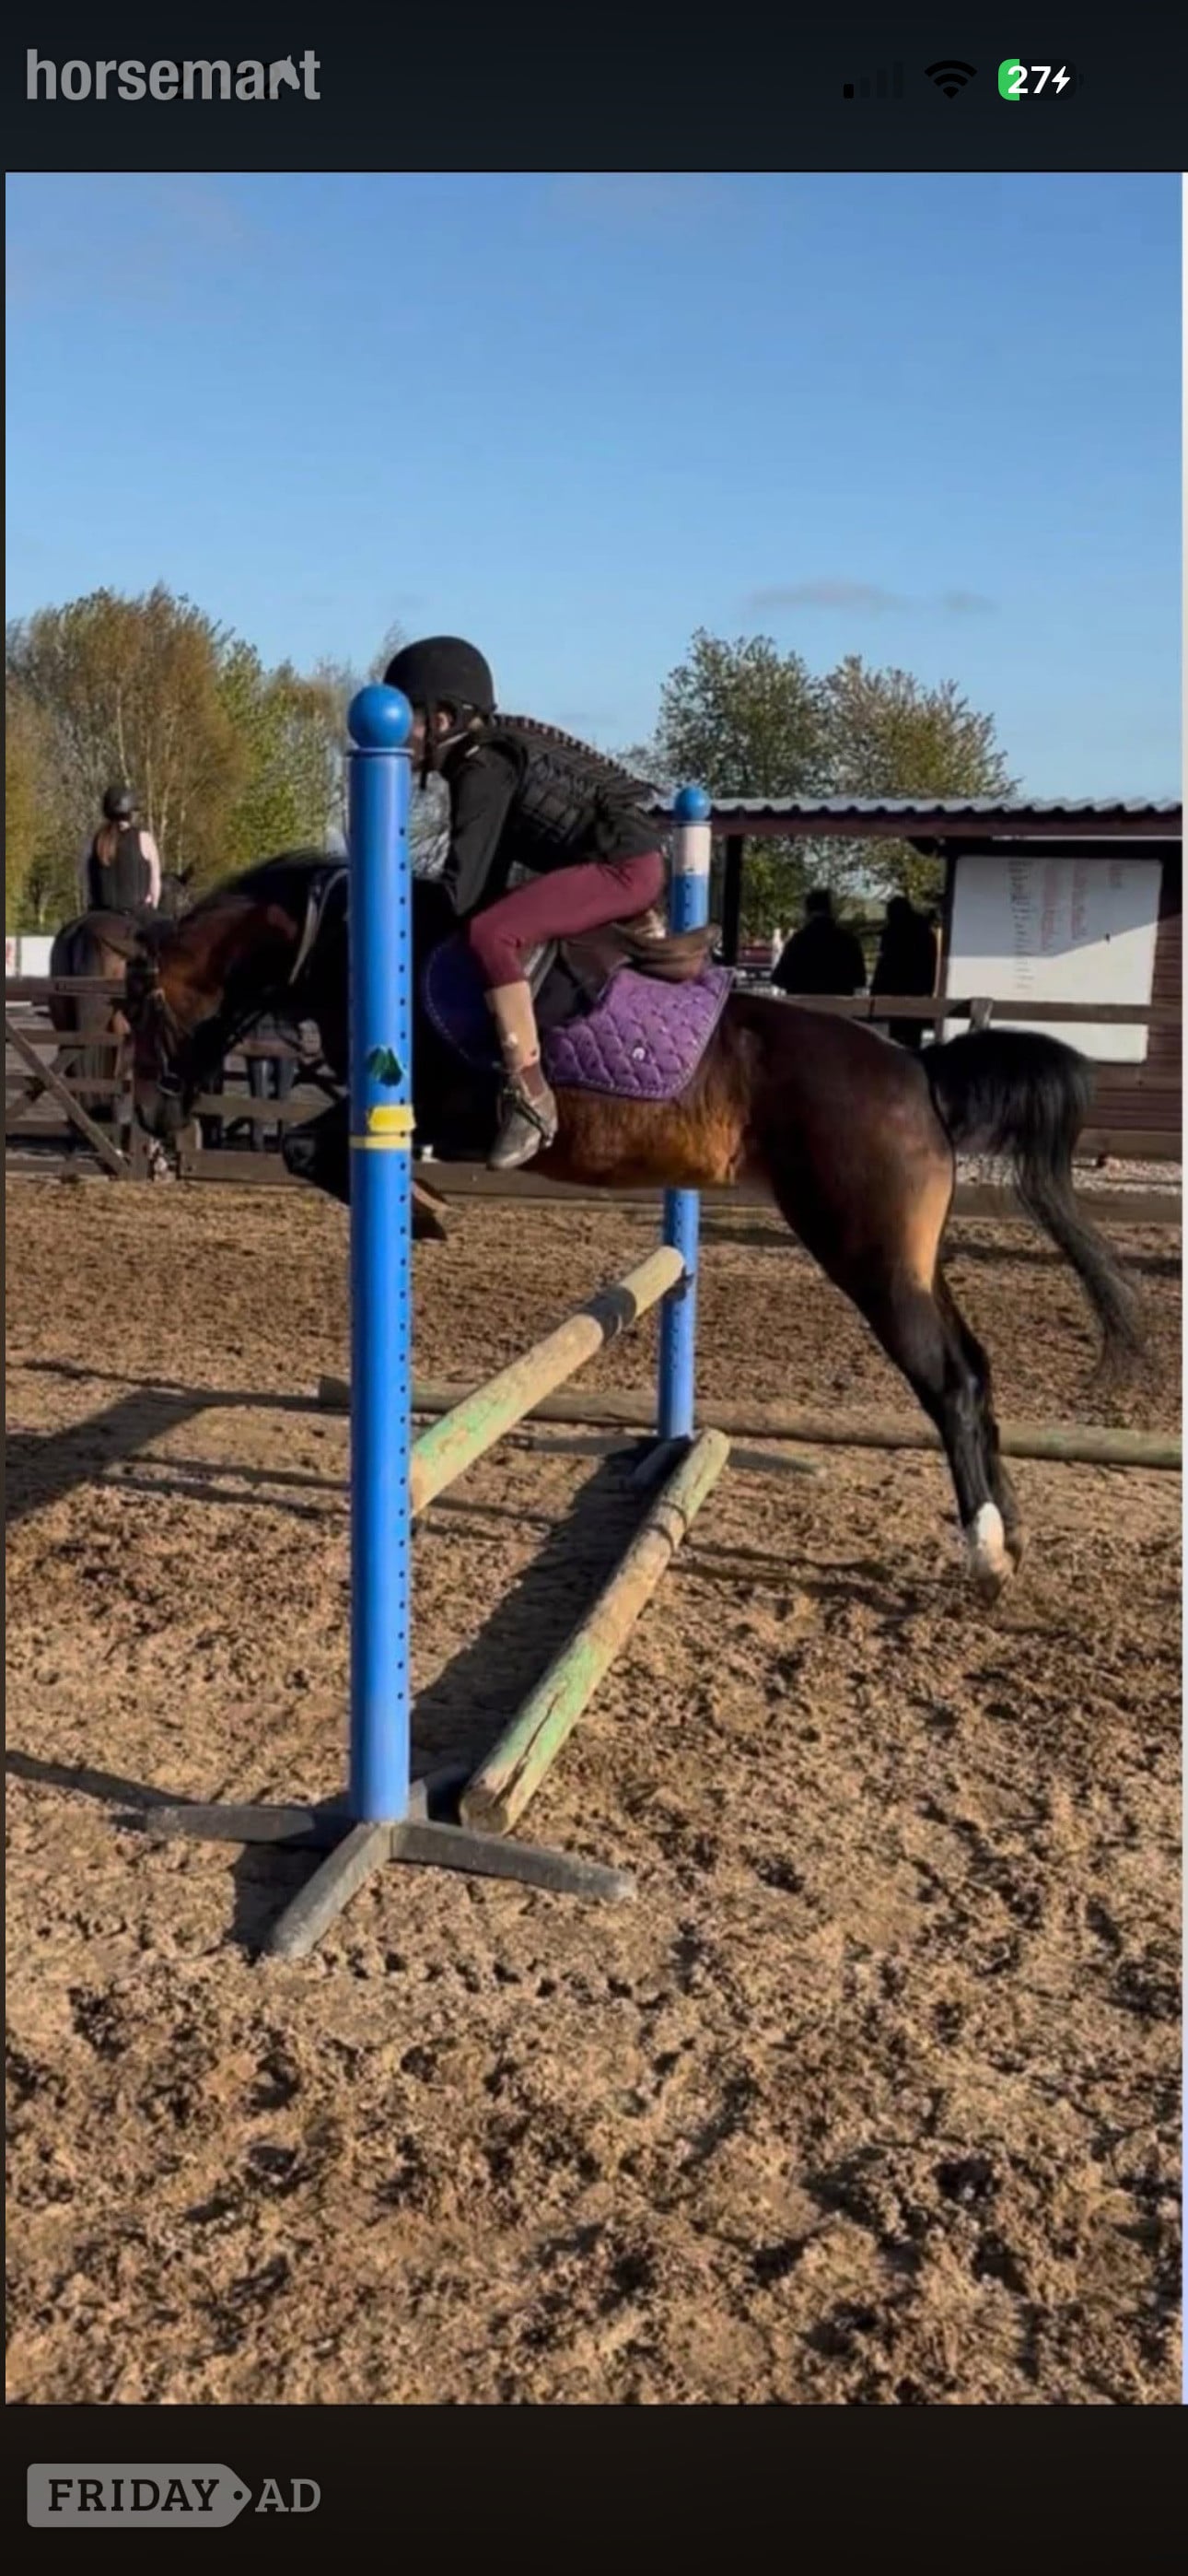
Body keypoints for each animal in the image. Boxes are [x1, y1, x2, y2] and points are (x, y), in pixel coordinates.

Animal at [121, 850, 1144, 1604]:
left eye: (136, 1012)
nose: (149, 1123)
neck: (343, 938)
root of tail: (919, 1075)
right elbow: (310, 1150)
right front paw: (428, 1209)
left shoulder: (436, 1102)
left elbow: (310, 1147)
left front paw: (425, 1211)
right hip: (910, 1259)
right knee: (975, 1368)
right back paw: (1010, 1533)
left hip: (868, 1256)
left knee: (949, 1383)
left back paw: (983, 1554)